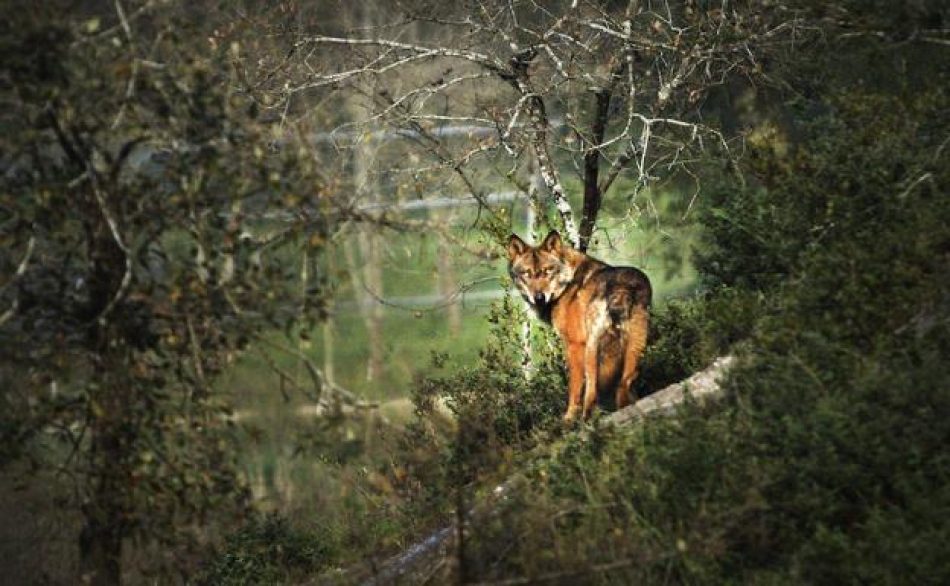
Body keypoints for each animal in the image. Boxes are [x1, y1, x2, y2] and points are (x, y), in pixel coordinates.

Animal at [510, 229, 652, 420]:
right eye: (527, 273)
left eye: (547, 271)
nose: (539, 297)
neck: (567, 283)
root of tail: (622, 287)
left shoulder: (574, 345)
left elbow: (574, 388)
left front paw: (568, 418)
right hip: (636, 346)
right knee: (625, 382)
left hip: (592, 348)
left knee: (591, 391)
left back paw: (587, 419)